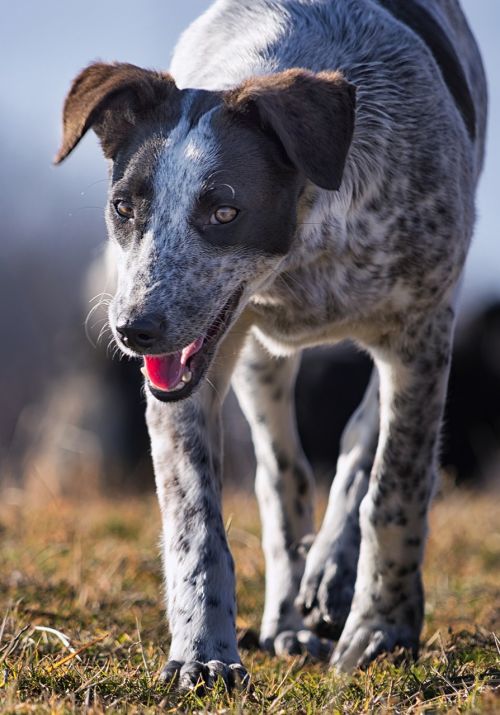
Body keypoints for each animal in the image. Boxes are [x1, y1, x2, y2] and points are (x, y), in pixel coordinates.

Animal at [55, 0, 488, 688]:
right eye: (124, 207)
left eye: (225, 213)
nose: (133, 330)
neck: (301, 258)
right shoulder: (193, 370)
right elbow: (195, 520)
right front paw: (203, 652)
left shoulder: (422, 329)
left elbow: (395, 484)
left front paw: (383, 630)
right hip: (258, 363)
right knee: (282, 476)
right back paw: (289, 613)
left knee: (361, 442)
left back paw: (333, 574)